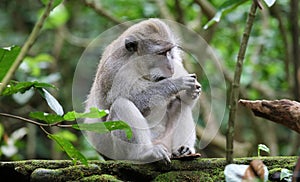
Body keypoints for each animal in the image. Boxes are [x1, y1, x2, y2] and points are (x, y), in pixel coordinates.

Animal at [84, 18, 202, 164]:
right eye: (160, 53)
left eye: (169, 52)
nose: (171, 67)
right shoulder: (114, 71)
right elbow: (125, 102)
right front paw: (176, 83)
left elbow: (184, 102)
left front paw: (192, 90)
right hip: (115, 151)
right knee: (121, 104)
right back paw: (143, 154)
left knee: (179, 104)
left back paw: (183, 150)